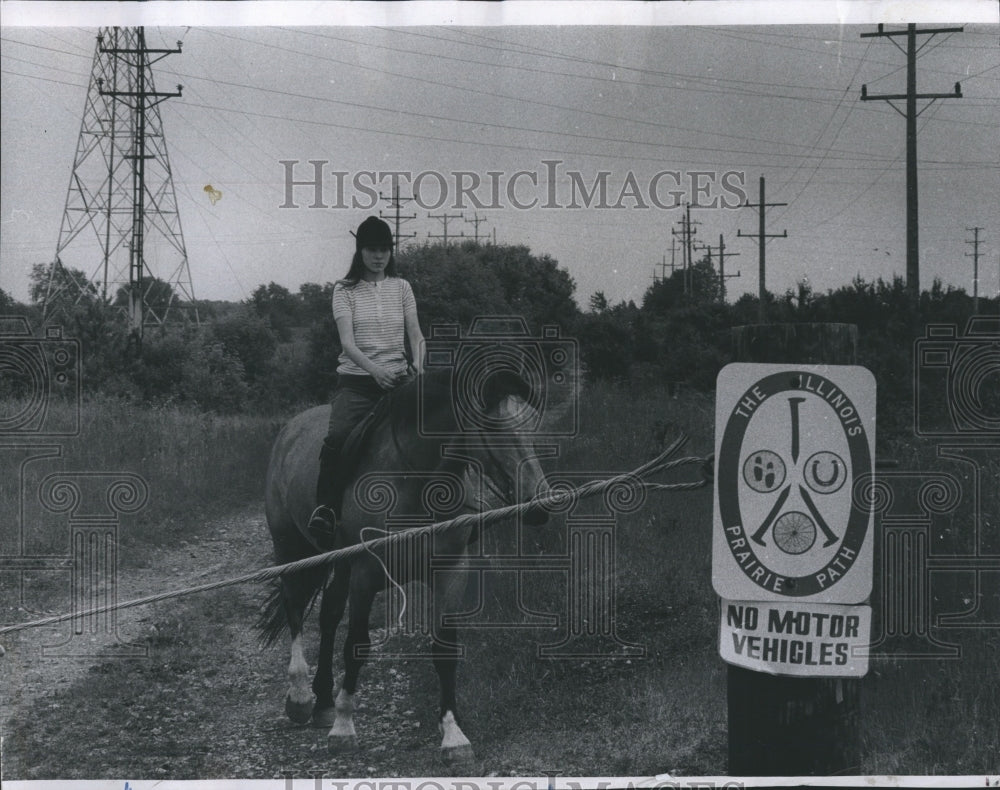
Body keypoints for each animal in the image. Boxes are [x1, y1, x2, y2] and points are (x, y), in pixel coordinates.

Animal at [258, 370, 556, 768]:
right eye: (491, 424)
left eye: (533, 422)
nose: (541, 504)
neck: (417, 481)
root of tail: (291, 428)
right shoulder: (366, 573)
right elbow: (357, 644)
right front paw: (344, 729)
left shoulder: (450, 571)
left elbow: (444, 650)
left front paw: (453, 736)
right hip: (291, 547)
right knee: (294, 609)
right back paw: (301, 697)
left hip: (339, 563)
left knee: (328, 615)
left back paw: (322, 702)